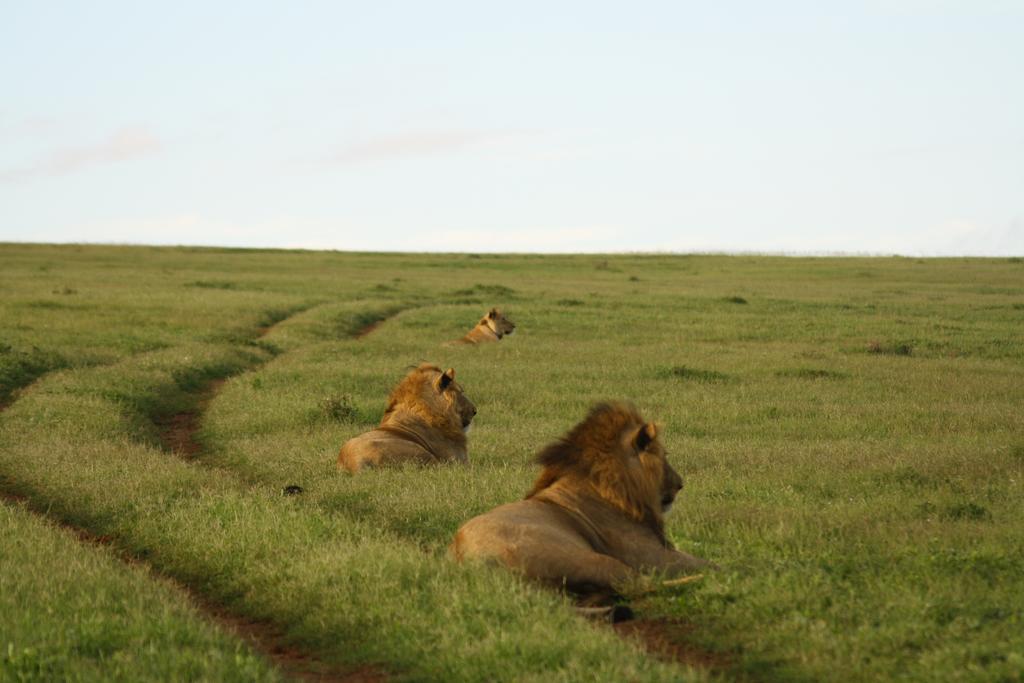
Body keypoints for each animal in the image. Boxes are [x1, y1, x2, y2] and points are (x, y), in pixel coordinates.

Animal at [452, 401, 708, 598]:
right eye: (664, 456)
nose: (680, 484)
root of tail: (467, 560)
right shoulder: (650, 555)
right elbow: (701, 562)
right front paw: (716, 569)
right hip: (587, 558)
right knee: (642, 584)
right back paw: (703, 582)